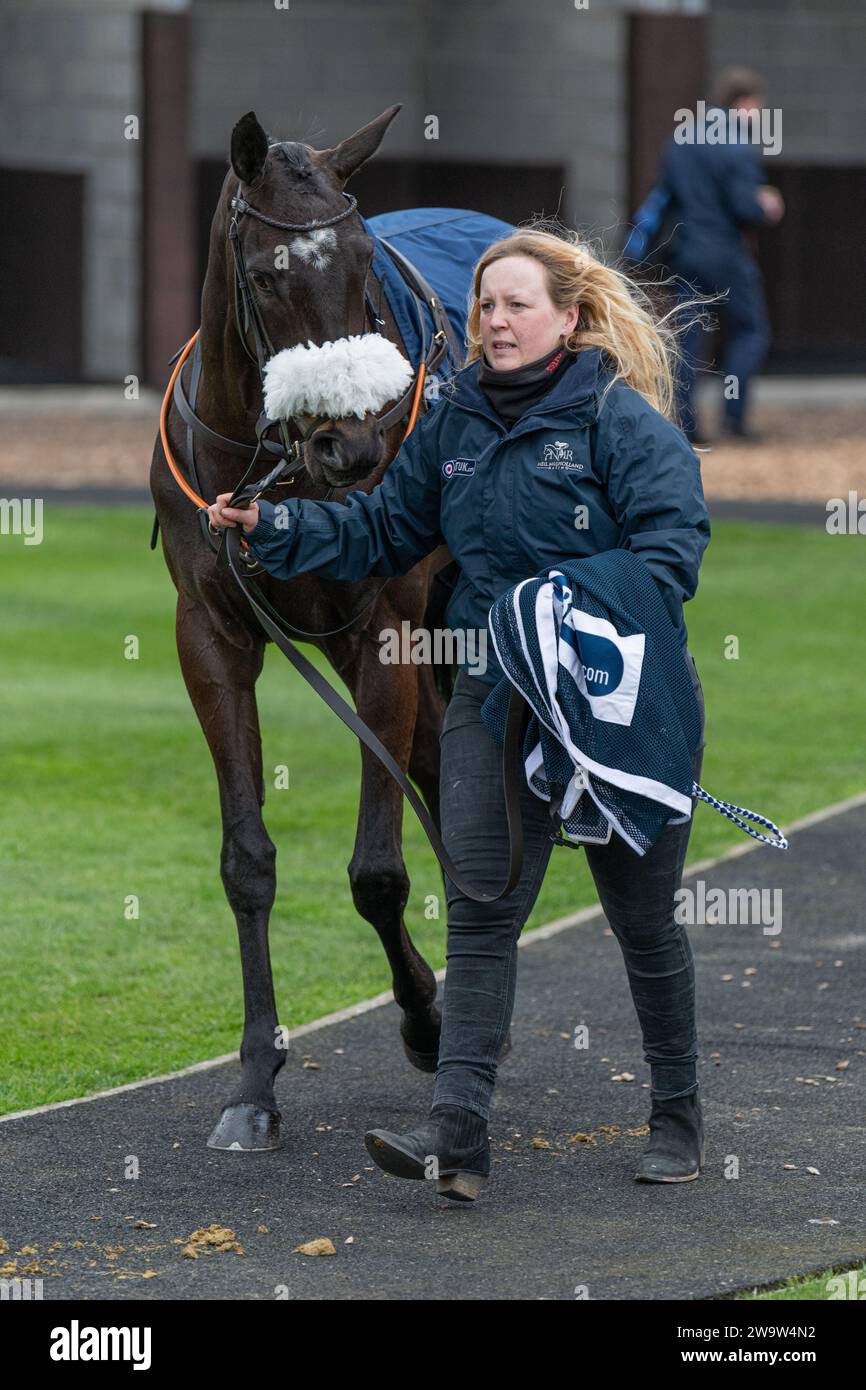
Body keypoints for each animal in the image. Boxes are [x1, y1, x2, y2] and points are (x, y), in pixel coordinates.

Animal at [151, 105, 475, 1150]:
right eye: (265, 276)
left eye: (366, 263)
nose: (356, 443)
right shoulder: (209, 635)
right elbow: (246, 861)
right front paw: (255, 1079)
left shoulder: (385, 629)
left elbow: (377, 872)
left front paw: (426, 1019)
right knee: (435, 768)